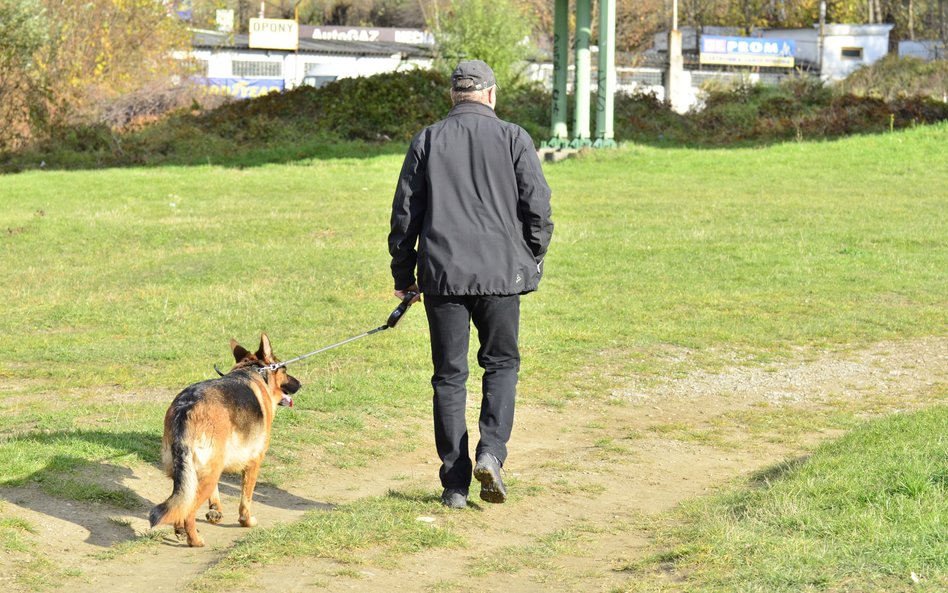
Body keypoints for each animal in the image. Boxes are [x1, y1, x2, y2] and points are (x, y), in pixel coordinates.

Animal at [149, 332, 300, 544]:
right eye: (285, 370)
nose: (300, 384)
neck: (254, 371)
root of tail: (186, 408)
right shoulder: (254, 462)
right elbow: (246, 498)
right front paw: (246, 521)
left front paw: (215, 511)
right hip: (208, 472)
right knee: (190, 510)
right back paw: (194, 540)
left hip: (193, 471)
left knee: (182, 501)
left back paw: (181, 531)